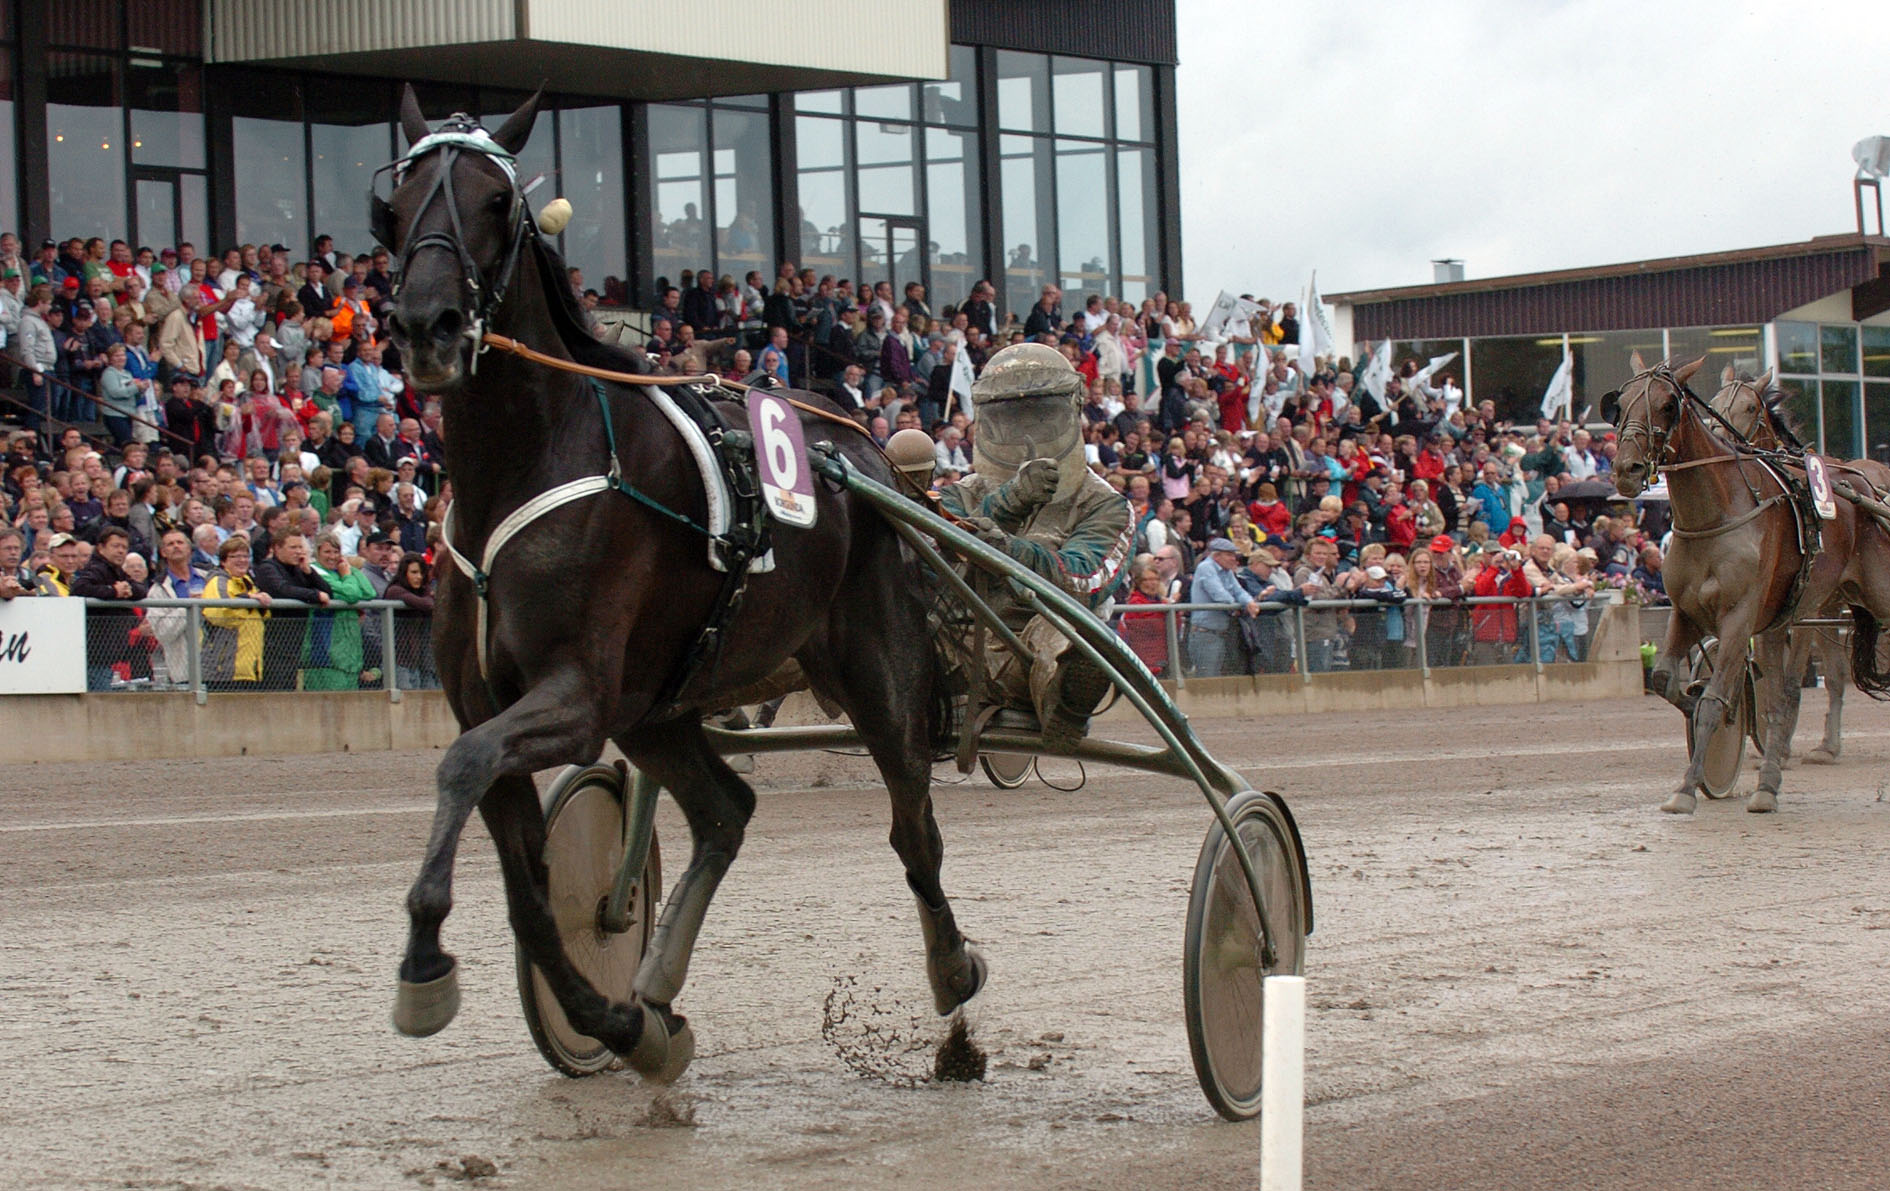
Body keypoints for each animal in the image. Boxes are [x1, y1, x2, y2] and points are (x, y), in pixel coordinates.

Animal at [378, 88, 982, 1081]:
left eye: (496, 201)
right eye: (390, 208)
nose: (427, 325)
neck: (529, 459)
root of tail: (862, 450)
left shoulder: (576, 695)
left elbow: (460, 766)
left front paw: (424, 959)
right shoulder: (499, 701)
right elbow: (529, 892)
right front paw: (618, 1022)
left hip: (876, 669)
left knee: (916, 833)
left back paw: (954, 988)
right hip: (657, 705)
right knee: (727, 811)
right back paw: (655, 989)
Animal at [1602, 349, 1890, 816]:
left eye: (1668, 404)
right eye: (1620, 403)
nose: (1627, 468)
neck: (1718, 513)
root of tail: (1868, 487)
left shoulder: (1748, 615)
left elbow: (1734, 697)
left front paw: (1688, 787)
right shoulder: (1689, 613)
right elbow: (1667, 680)